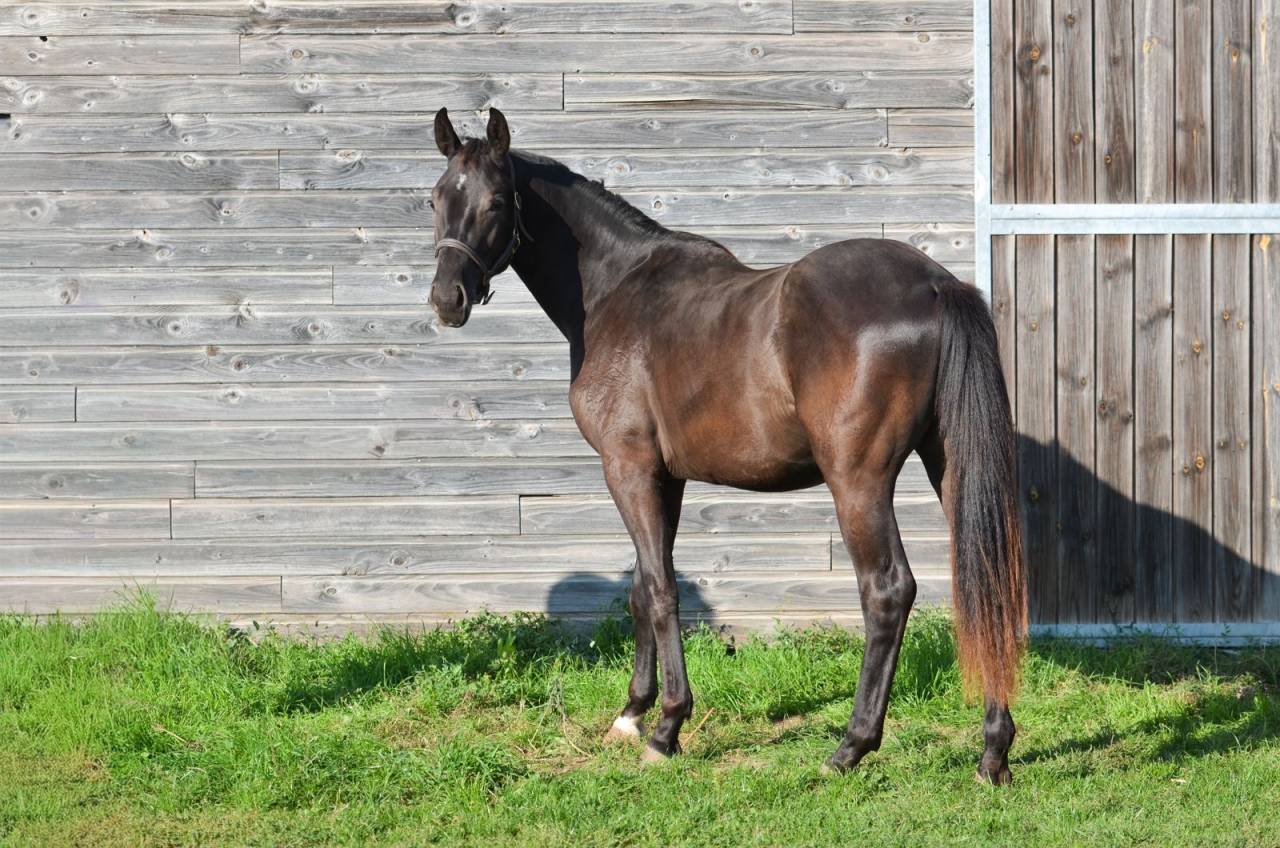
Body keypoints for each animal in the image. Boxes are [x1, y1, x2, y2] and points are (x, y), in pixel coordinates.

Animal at [427, 107, 1027, 784]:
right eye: (436, 199)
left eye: (497, 201)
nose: (446, 299)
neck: (615, 290)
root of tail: (934, 284)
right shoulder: (665, 477)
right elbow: (641, 586)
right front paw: (630, 714)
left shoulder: (627, 468)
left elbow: (661, 590)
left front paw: (666, 728)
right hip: (947, 466)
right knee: (985, 581)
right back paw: (993, 751)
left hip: (858, 480)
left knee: (888, 590)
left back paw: (850, 746)